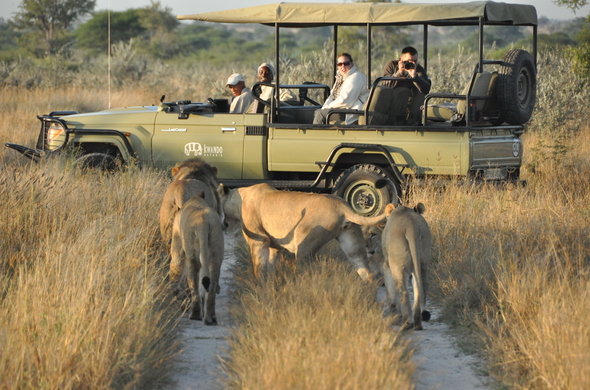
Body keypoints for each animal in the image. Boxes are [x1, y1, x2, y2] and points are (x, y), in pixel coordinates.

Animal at [171, 193, 227, 324]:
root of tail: (203, 222)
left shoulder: (177, 244)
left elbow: (175, 268)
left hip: (192, 256)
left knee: (194, 285)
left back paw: (195, 315)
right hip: (215, 254)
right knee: (211, 287)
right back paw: (210, 319)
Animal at [220, 183, 390, 280]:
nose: (224, 224)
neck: (240, 197)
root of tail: (342, 206)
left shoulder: (259, 240)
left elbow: (259, 267)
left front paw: (259, 286)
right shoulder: (274, 246)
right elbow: (270, 265)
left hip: (304, 245)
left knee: (305, 273)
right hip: (352, 242)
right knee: (366, 271)